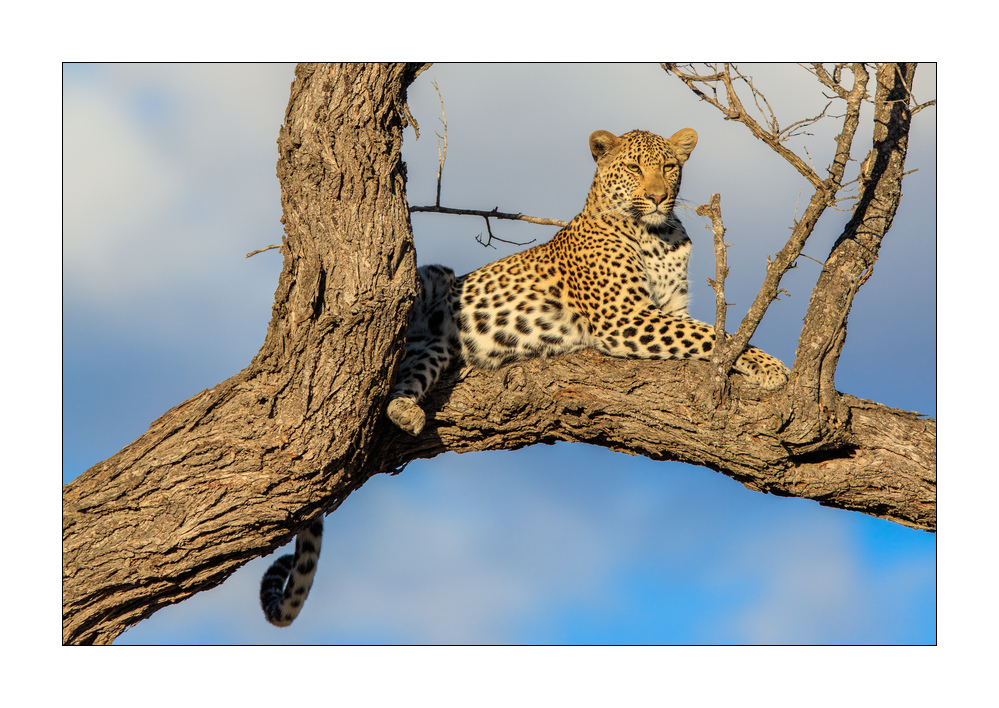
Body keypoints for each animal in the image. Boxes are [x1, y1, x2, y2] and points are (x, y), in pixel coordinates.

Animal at [260, 128, 789, 627]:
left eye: (670, 168)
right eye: (635, 168)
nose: (659, 196)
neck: (659, 235)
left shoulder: (666, 310)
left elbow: (705, 336)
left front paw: (764, 366)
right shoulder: (624, 318)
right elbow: (713, 337)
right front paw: (774, 369)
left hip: (434, 347)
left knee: (408, 376)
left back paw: (408, 409)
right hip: (432, 276)